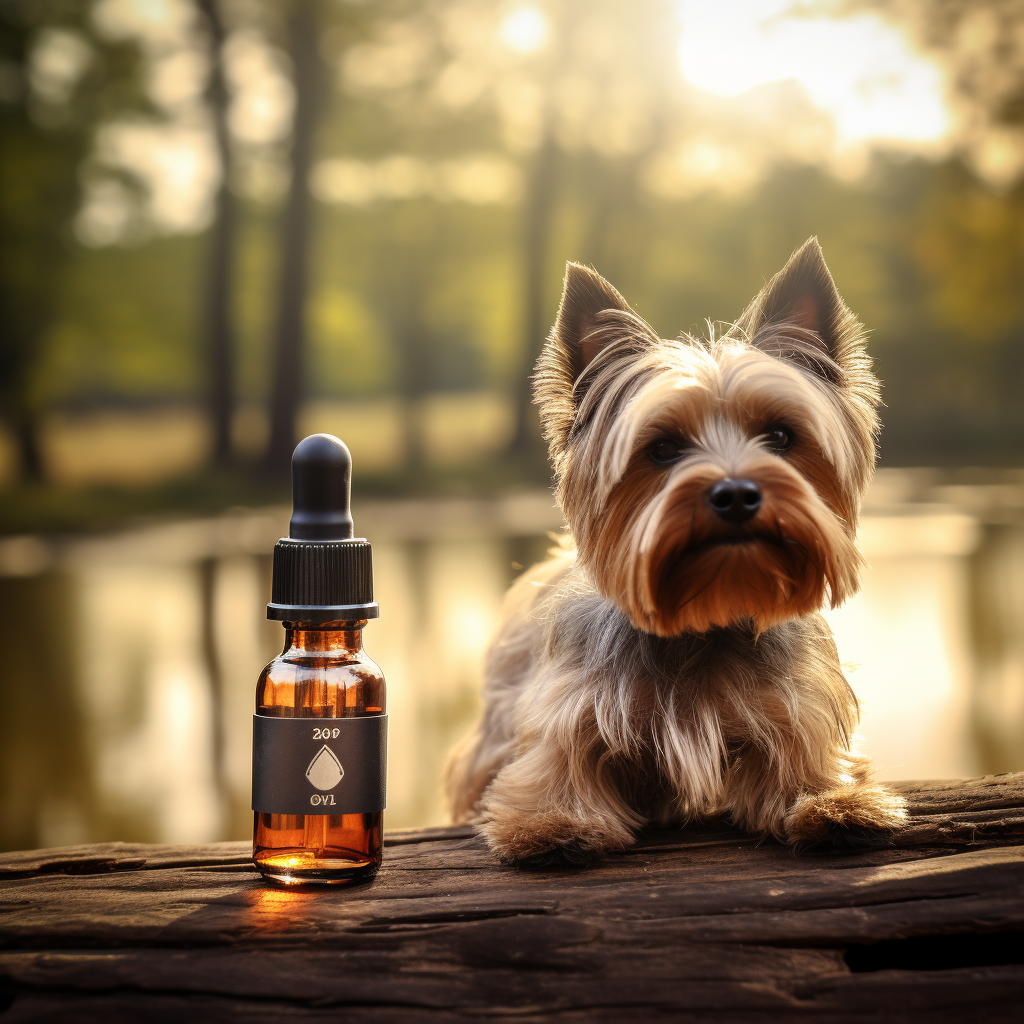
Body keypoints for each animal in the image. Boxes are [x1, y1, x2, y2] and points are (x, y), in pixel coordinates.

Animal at [444, 239, 909, 864]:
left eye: (781, 436)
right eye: (663, 448)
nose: (735, 493)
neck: (703, 618)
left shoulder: (794, 707)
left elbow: (802, 762)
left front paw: (834, 802)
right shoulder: (568, 707)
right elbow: (556, 762)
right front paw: (554, 822)